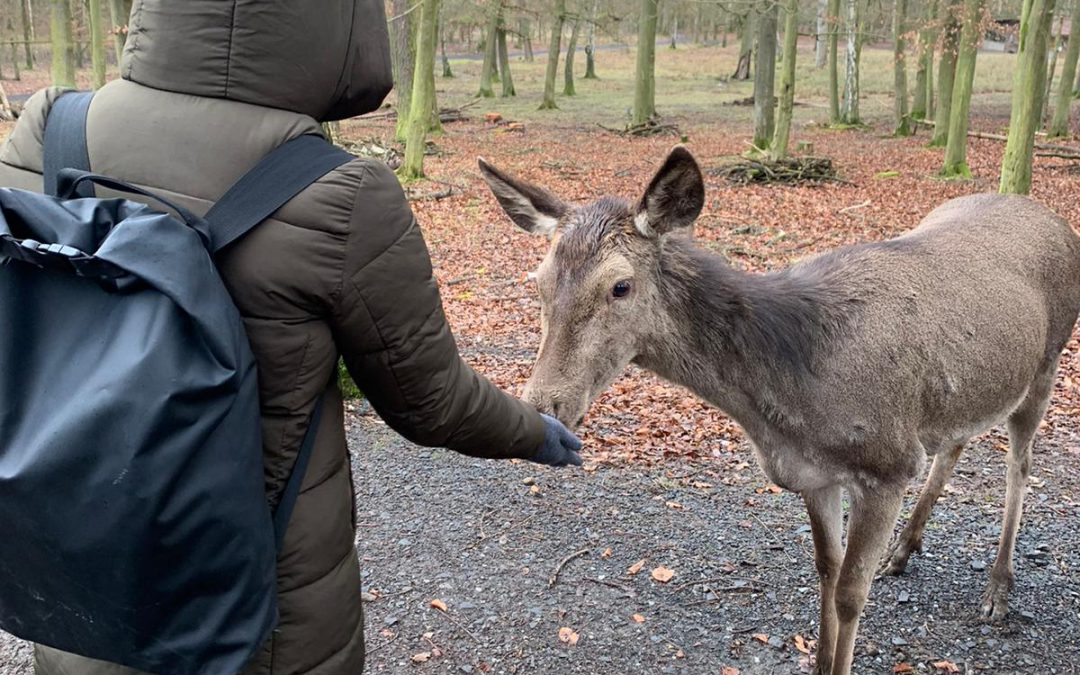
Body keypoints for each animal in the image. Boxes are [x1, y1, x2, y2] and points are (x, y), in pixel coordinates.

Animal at [481, 146, 1080, 673]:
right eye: (538, 283)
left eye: (620, 286)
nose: (545, 406)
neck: (792, 401)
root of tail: (1055, 220)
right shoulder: (814, 474)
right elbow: (826, 573)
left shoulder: (888, 464)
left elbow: (850, 594)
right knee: (956, 442)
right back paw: (905, 550)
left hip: (1047, 363)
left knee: (1019, 467)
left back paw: (998, 589)